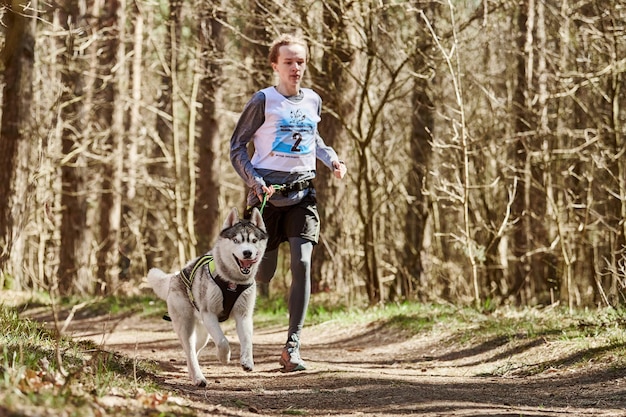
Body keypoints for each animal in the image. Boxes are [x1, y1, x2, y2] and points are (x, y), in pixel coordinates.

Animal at [147, 206, 266, 386]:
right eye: (236, 240)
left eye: (253, 240)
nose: (247, 253)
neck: (233, 281)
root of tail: (176, 275)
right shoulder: (209, 314)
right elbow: (223, 341)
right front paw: (223, 357)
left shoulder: (244, 315)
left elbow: (247, 340)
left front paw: (247, 361)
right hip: (186, 324)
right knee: (189, 350)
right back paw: (198, 377)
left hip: (204, 332)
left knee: (192, 351)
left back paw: (191, 371)